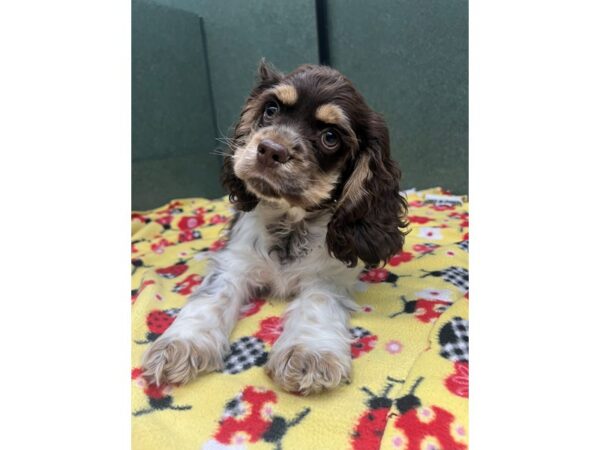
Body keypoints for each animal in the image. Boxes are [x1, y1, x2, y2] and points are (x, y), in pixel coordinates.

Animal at [143, 61, 410, 396]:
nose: (270, 149)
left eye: (330, 137)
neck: (289, 223)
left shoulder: (328, 278)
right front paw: (181, 344)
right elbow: (210, 298)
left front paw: (309, 354)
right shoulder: (234, 263)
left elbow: (316, 305)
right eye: (271, 110)